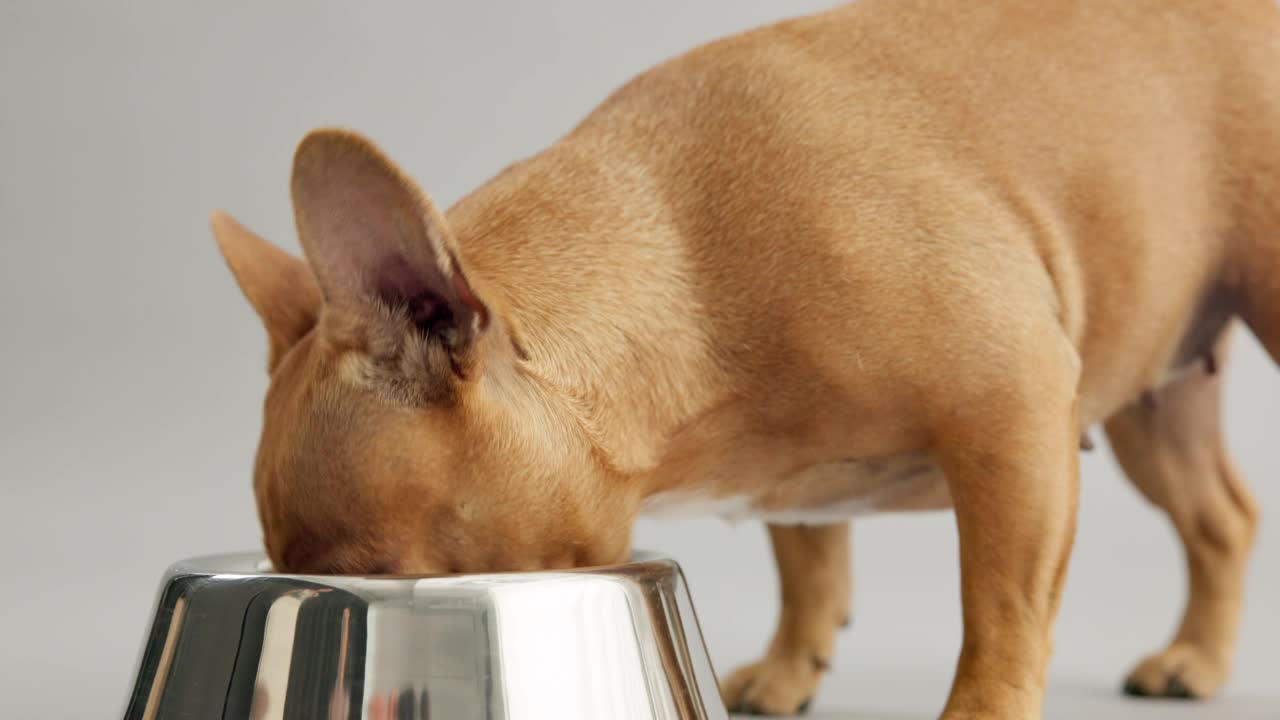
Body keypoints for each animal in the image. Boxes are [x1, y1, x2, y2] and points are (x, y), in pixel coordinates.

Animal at [212, 2, 1280, 712]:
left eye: (376, 573)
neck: (685, 271)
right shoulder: (791, 473)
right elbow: (808, 562)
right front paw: (788, 668)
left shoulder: (1012, 417)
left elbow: (1003, 614)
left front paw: (978, 708)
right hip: (1156, 395)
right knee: (1219, 516)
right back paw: (1196, 658)